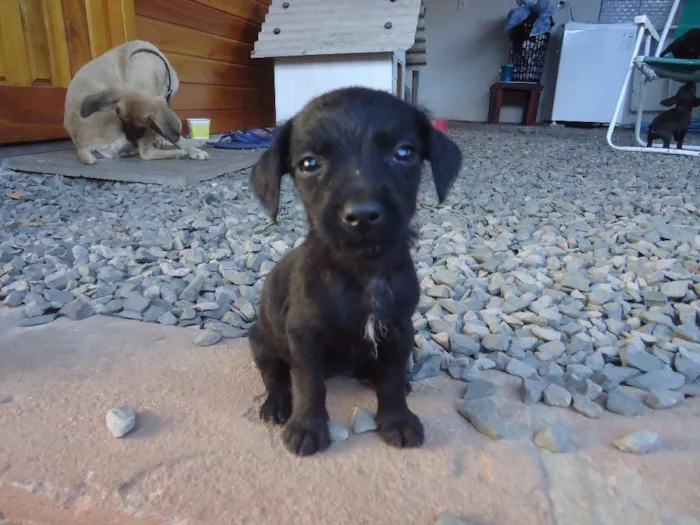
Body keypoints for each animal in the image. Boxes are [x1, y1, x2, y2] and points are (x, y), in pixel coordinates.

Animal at [63, 40, 208, 164]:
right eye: (122, 121)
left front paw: (163, 140)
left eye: (138, 125)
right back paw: (179, 152)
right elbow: (175, 136)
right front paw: (193, 150)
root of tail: (82, 146)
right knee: (146, 152)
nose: (131, 138)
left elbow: (168, 131)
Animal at [249, 86, 462, 454]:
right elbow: (308, 384)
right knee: (275, 375)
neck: (363, 270)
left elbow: (392, 378)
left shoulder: (398, 328)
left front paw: (398, 419)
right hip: (260, 340)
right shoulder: (303, 336)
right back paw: (276, 404)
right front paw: (307, 427)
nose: (362, 214)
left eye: (404, 153)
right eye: (309, 163)